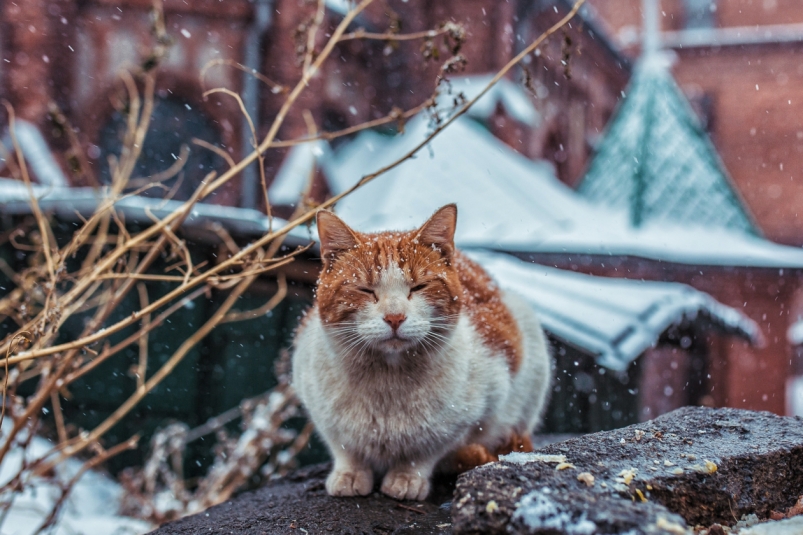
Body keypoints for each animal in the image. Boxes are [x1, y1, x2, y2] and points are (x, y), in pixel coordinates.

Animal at [292, 204, 556, 502]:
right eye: (365, 290)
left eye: (418, 287)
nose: (395, 317)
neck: (387, 382)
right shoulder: (319, 407)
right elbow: (345, 447)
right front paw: (350, 473)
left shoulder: (474, 412)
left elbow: (426, 452)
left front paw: (407, 477)